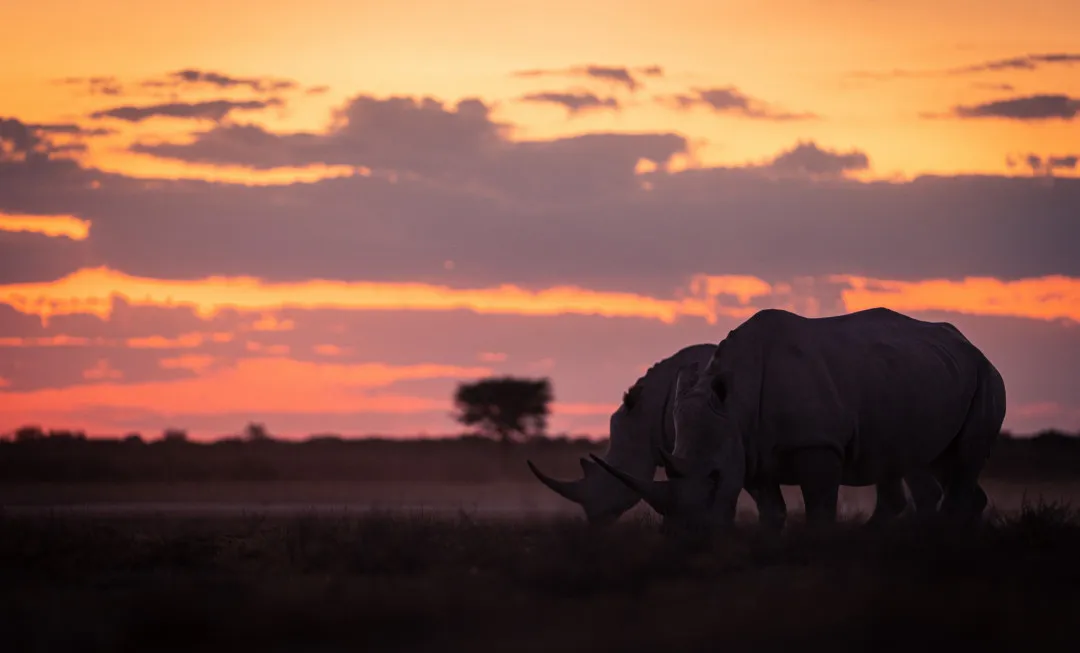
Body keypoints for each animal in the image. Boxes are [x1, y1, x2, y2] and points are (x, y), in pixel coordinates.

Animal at [588, 307, 1006, 532]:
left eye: (713, 478)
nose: (683, 538)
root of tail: (971, 346)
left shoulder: (816, 444)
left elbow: (819, 509)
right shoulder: (749, 448)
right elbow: (772, 511)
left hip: (984, 375)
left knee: (962, 458)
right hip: (921, 374)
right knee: (934, 460)